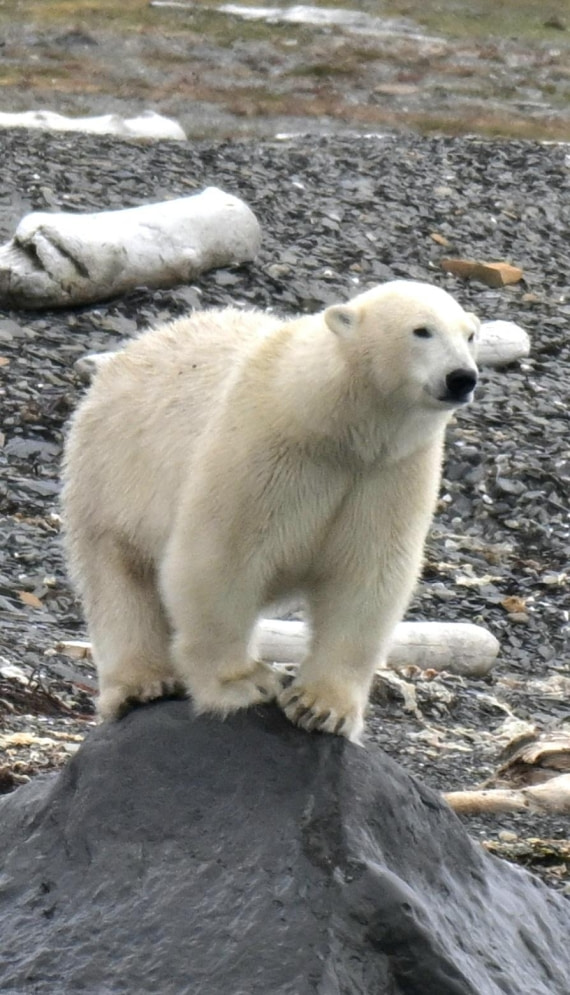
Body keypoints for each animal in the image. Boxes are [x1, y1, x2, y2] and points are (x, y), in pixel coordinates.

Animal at [62, 280, 479, 743]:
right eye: (421, 330)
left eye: (470, 335)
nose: (462, 377)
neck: (336, 425)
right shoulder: (266, 451)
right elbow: (220, 559)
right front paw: (244, 683)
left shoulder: (390, 473)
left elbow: (367, 576)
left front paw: (322, 707)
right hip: (112, 474)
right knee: (119, 577)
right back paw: (143, 684)